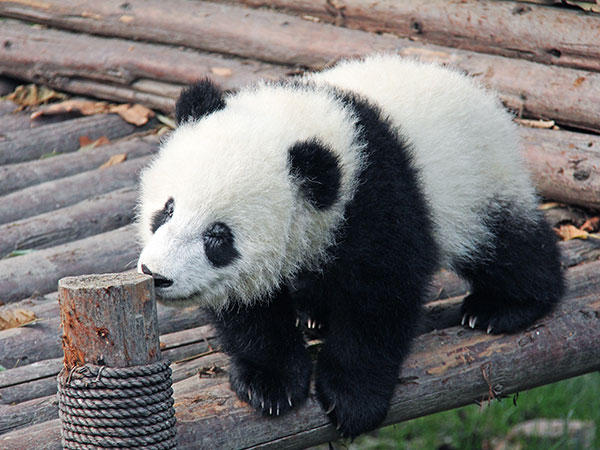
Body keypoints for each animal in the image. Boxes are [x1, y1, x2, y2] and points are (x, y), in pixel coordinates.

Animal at [136, 53, 564, 440]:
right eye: (167, 209)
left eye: (218, 237)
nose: (156, 275)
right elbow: (250, 307)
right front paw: (270, 382)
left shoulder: (377, 197)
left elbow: (379, 297)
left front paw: (352, 399)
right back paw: (315, 313)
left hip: (477, 179)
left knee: (504, 243)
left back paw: (502, 307)